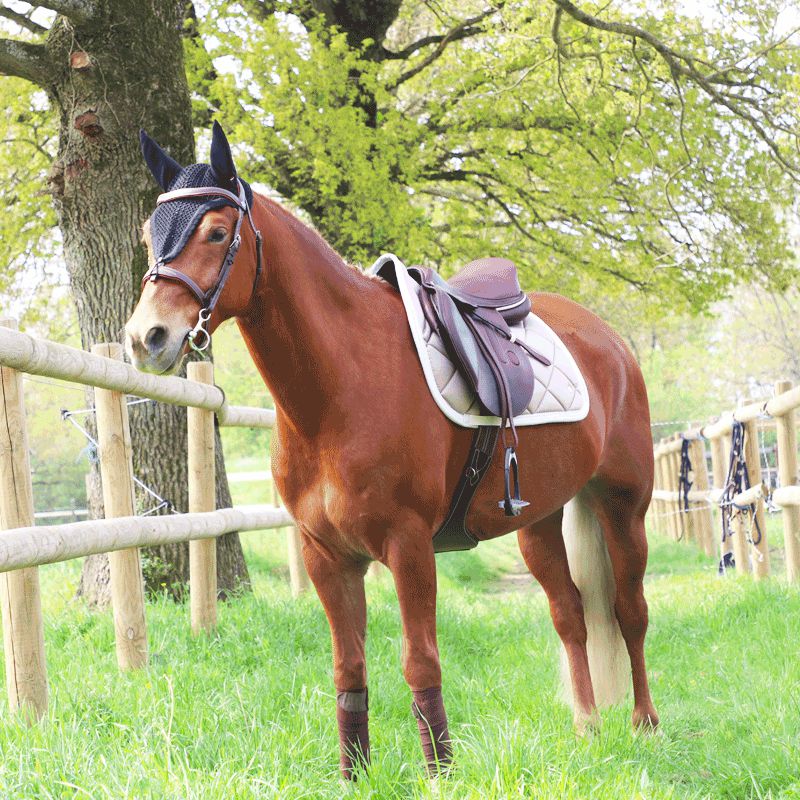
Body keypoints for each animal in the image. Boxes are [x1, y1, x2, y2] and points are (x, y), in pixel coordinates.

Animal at [125, 125, 660, 780]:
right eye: (148, 236)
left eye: (218, 233)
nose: (146, 338)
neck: (342, 388)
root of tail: (610, 343)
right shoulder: (327, 556)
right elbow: (349, 670)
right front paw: (354, 774)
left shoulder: (409, 548)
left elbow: (420, 662)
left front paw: (441, 774)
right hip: (540, 520)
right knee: (571, 614)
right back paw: (587, 727)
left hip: (623, 505)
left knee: (630, 612)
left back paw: (644, 724)